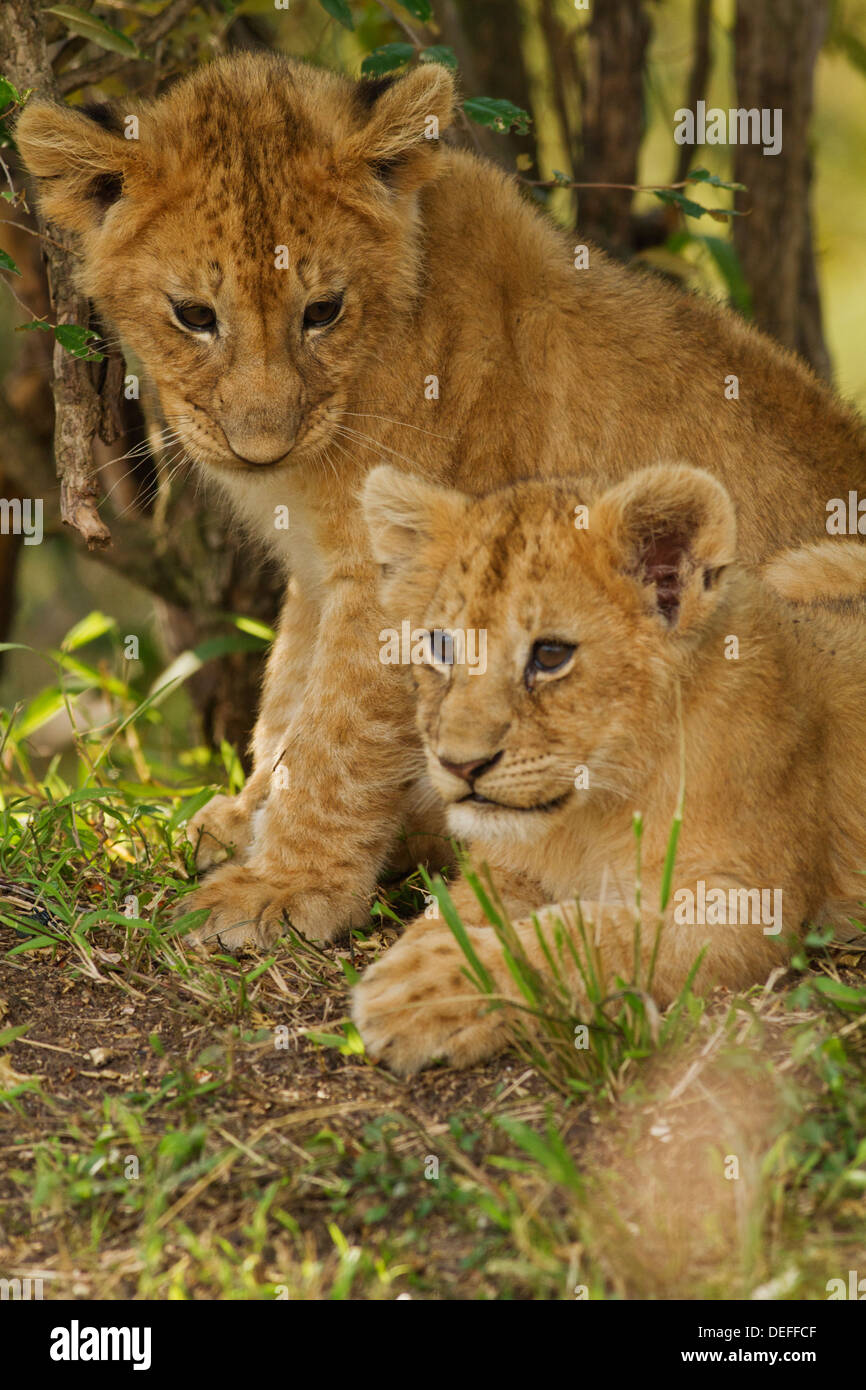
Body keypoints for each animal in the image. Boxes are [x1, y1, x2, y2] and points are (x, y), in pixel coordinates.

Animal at [16, 54, 866, 951]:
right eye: (193, 316)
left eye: (322, 311)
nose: (260, 445)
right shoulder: (320, 568)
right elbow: (288, 692)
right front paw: (246, 820)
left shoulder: (402, 579)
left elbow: (337, 739)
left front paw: (283, 888)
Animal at [350, 462, 866, 1073]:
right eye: (441, 646)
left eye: (550, 655)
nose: (461, 763)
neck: (591, 811)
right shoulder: (513, 864)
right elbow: (470, 904)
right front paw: (422, 951)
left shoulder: (753, 904)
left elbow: (588, 935)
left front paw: (429, 987)